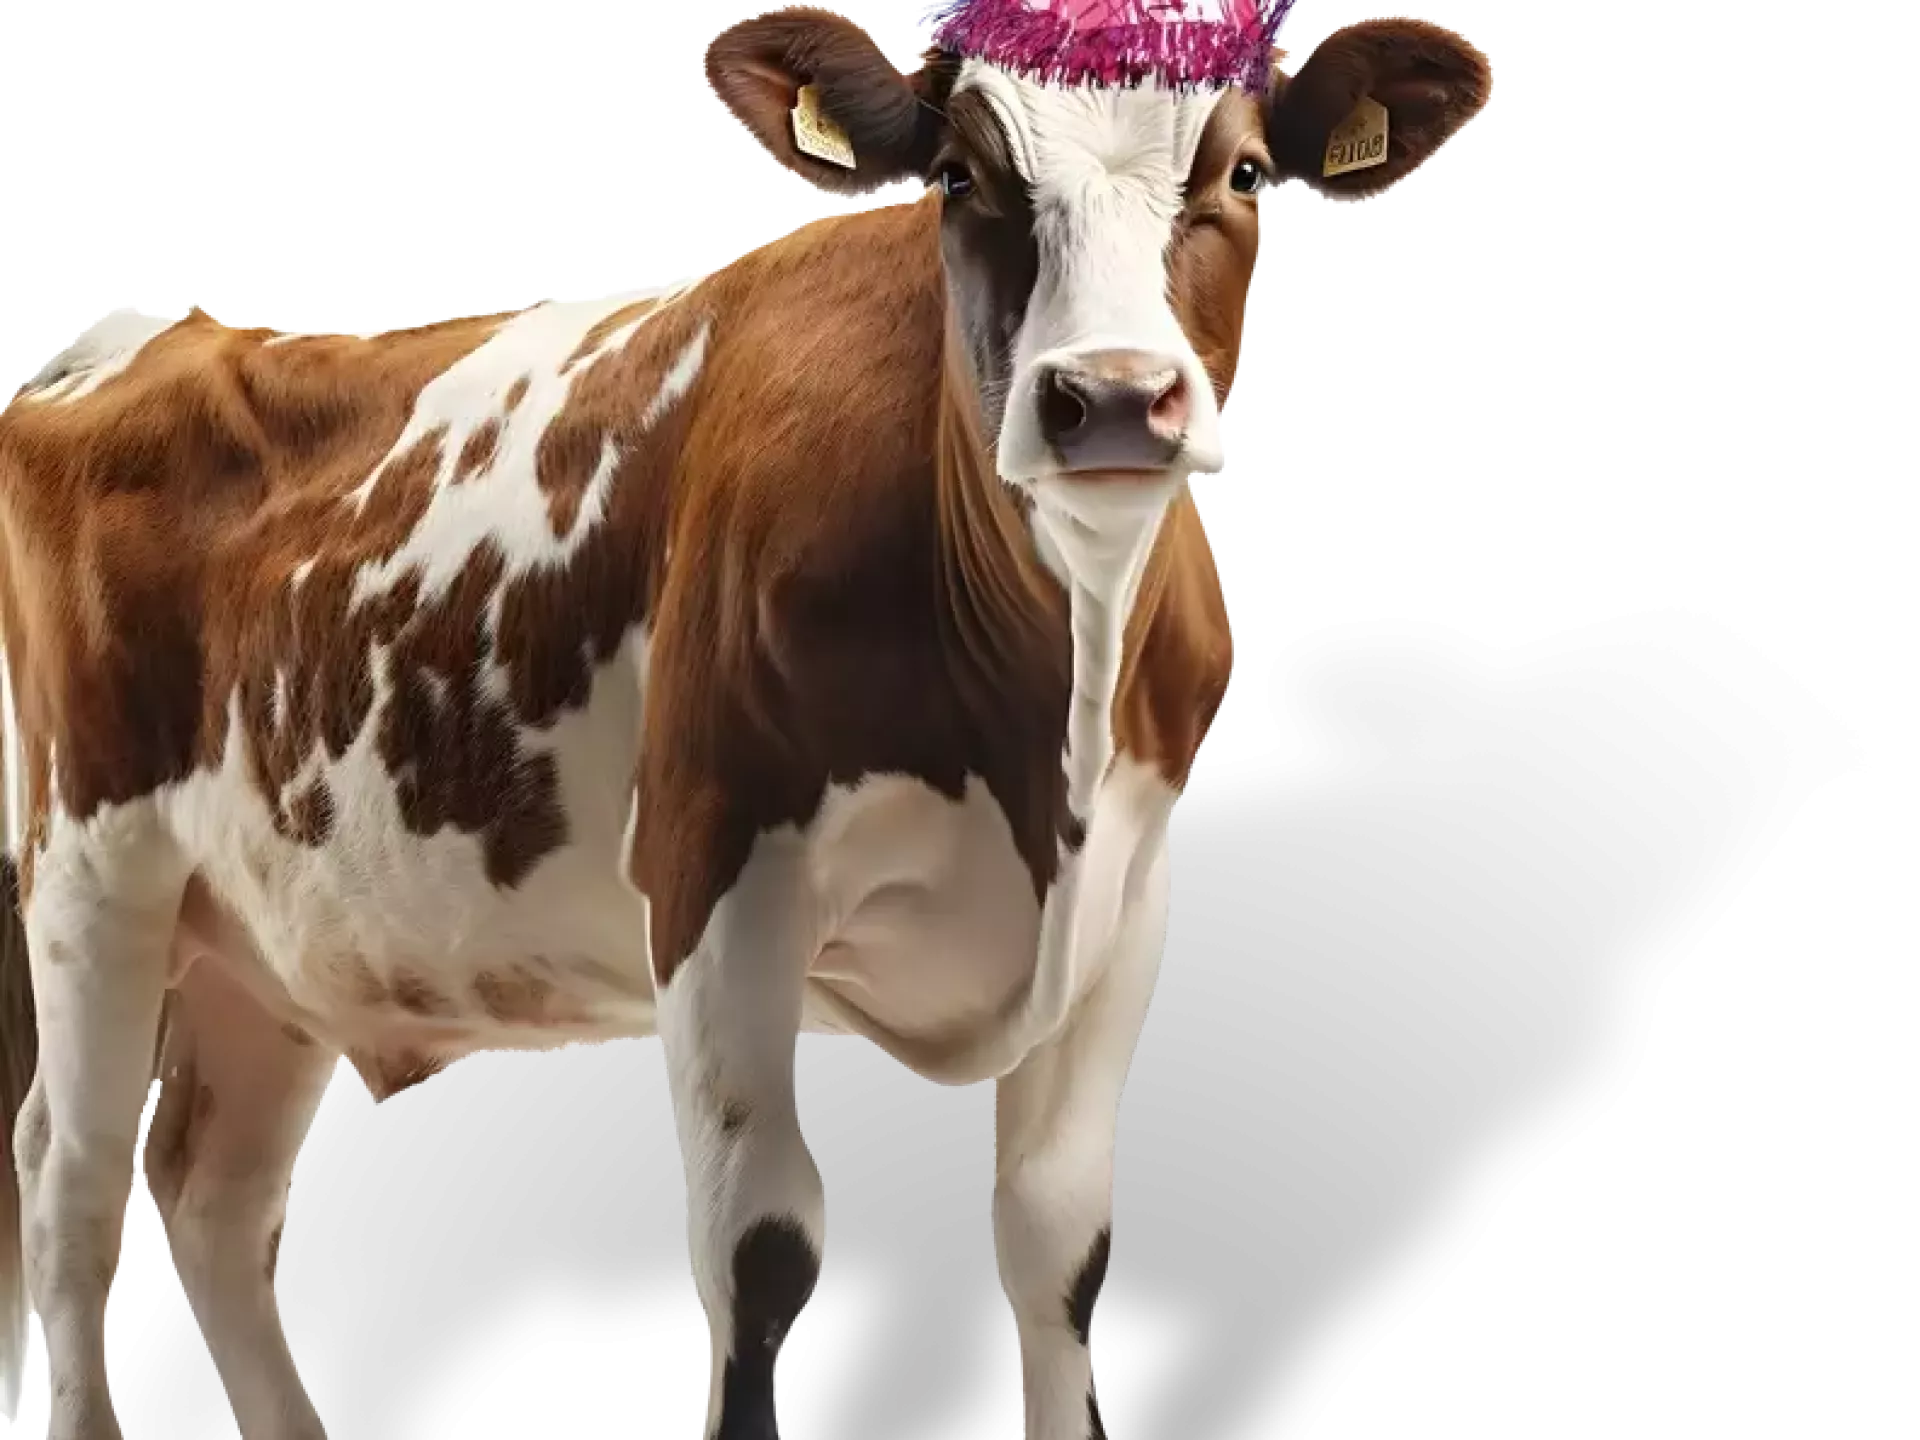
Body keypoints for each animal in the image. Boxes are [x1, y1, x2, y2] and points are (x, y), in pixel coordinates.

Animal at [0, 7, 1491, 1436]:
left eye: (1240, 172)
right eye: (964, 173)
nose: (1114, 396)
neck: (1039, 729)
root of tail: (152, 332)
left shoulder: (1129, 903)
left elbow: (1058, 1253)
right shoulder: (717, 868)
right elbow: (762, 1250)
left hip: (280, 934)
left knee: (213, 1190)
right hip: (93, 874)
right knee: (73, 1186)